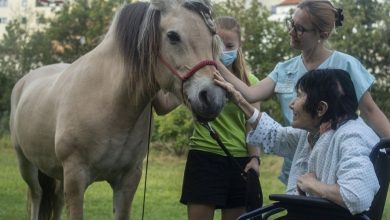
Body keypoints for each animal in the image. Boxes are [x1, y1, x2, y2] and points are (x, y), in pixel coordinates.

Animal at [9, 0, 225, 219]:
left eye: (212, 39)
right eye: (173, 36)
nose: (212, 97)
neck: (108, 100)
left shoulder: (128, 179)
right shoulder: (75, 178)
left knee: (57, 200)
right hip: (26, 164)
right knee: (37, 195)